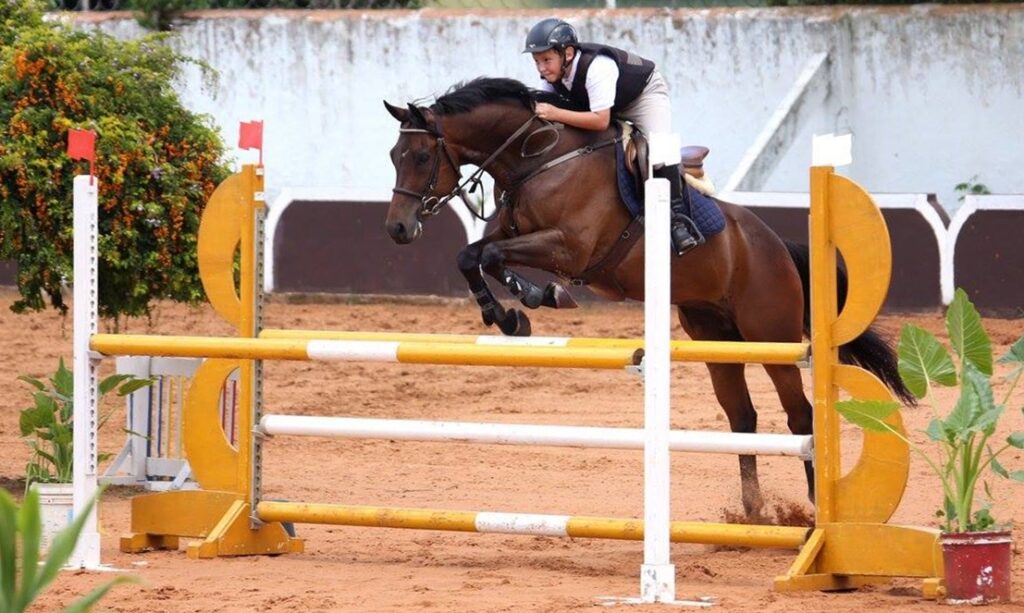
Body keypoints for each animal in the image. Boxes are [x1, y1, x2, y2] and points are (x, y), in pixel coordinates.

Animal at [385, 77, 913, 517]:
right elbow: (471, 254)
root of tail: (776, 245)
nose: (397, 229)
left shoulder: (570, 248)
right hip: (713, 336)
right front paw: (508, 314)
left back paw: (812, 508)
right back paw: (752, 510)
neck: (537, 159)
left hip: (772, 337)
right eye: (394, 155)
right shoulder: (517, 234)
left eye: (421, 157)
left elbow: (492, 255)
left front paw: (538, 298)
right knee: (742, 414)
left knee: (800, 414)